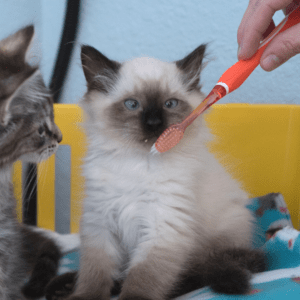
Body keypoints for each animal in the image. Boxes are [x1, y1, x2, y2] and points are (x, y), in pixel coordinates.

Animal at [46, 45, 264, 300]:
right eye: (132, 104)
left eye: (170, 104)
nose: (153, 123)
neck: (140, 161)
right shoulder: (100, 224)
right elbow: (95, 275)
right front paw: (83, 295)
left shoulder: (163, 228)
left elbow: (142, 278)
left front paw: (130, 295)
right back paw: (65, 286)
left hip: (219, 240)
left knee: (197, 274)